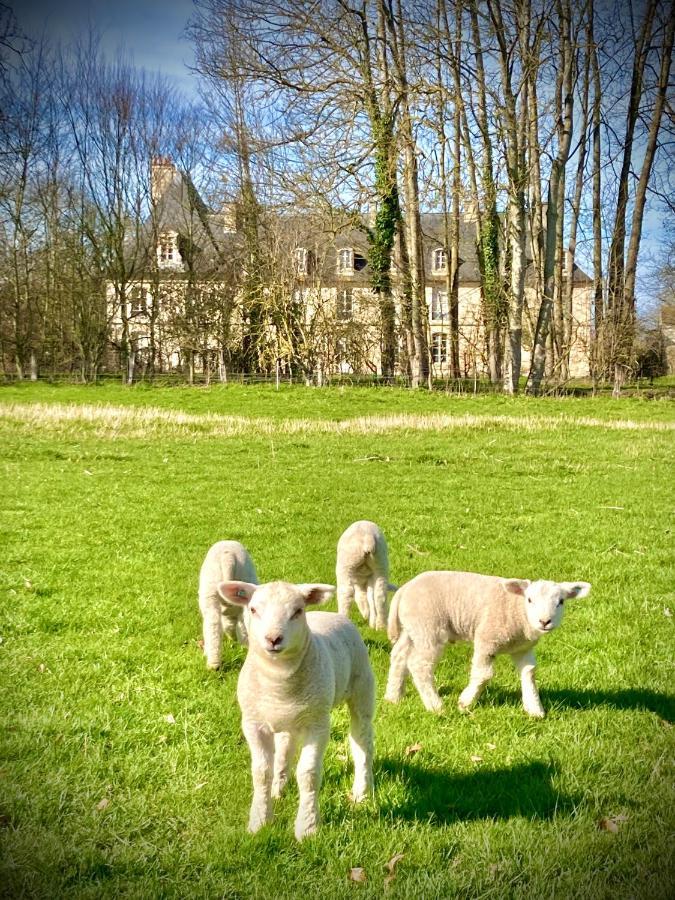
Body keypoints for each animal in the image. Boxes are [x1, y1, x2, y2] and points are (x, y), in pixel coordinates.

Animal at [217, 580, 374, 840]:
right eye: (253, 609)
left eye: (297, 611)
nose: (273, 638)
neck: (279, 682)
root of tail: (335, 615)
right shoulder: (253, 723)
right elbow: (261, 772)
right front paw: (259, 821)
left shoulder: (318, 725)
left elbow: (308, 774)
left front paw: (308, 827)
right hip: (287, 721)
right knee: (284, 747)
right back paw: (278, 788)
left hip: (362, 691)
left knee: (362, 744)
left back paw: (362, 793)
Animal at [386, 572, 592, 720]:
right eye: (530, 600)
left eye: (561, 602)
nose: (544, 621)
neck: (517, 611)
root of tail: (404, 589)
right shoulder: (486, 639)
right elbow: (484, 674)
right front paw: (465, 703)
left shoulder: (522, 648)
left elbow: (529, 673)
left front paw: (534, 709)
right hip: (428, 627)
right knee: (419, 665)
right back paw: (436, 706)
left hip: (412, 629)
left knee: (399, 655)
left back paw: (393, 697)